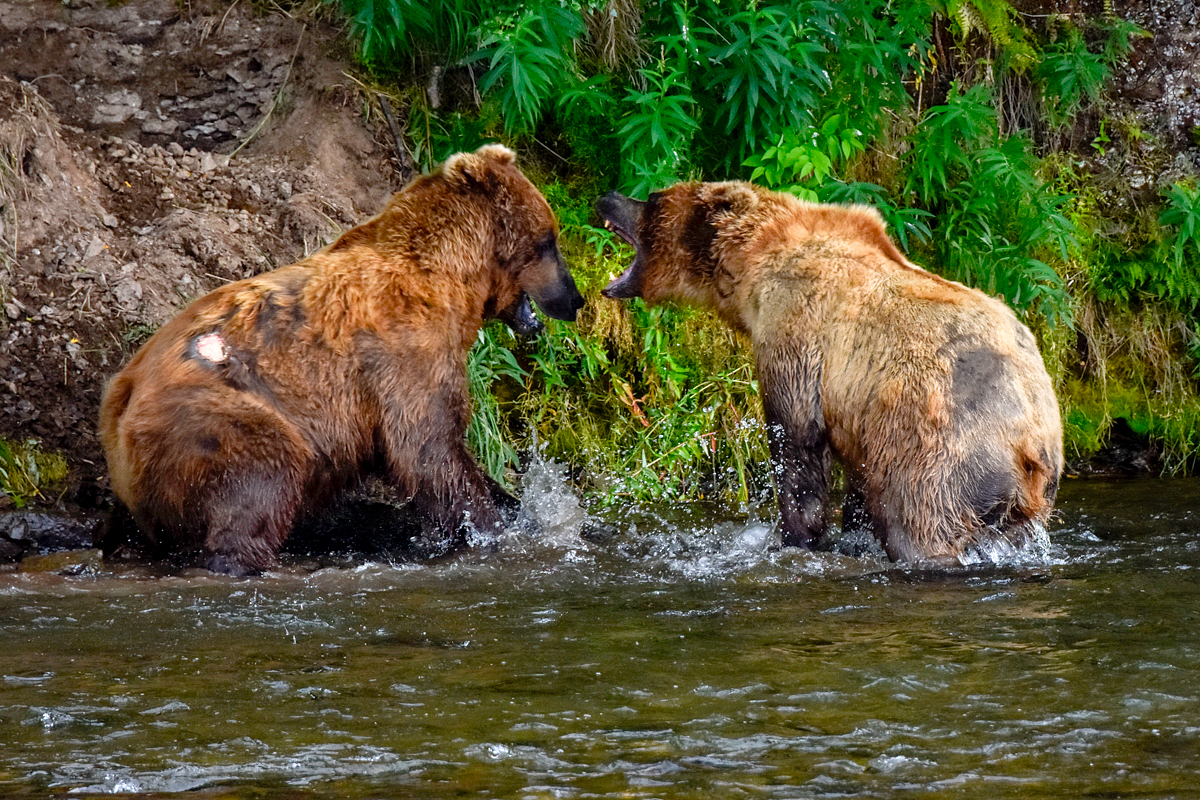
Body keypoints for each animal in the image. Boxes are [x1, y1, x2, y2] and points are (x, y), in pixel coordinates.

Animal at [96, 145, 583, 575]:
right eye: (550, 240)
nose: (574, 298)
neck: (453, 279)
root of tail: (120, 400)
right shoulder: (404, 355)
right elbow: (427, 449)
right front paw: (489, 527)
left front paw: (518, 509)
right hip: (210, 417)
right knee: (260, 476)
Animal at [597, 181, 1060, 563]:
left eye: (651, 199)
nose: (608, 196)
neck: (755, 267)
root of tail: (1029, 443)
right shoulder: (864, 424)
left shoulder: (797, 333)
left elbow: (797, 446)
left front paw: (794, 536)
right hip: (1024, 503)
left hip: (944, 458)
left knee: (919, 524)